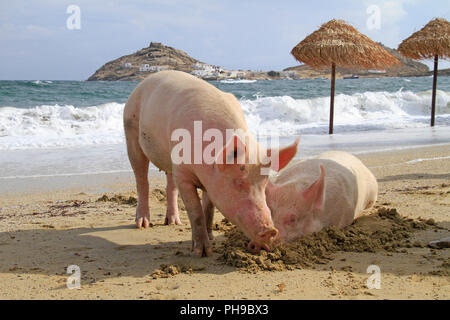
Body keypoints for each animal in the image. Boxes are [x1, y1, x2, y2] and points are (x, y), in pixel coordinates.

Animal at [123, 71, 298, 256]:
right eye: (238, 183)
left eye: (264, 183)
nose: (271, 230)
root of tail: (143, 82)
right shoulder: (184, 174)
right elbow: (196, 211)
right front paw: (201, 252)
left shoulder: (208, 181)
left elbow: (208, 208)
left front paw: (212, 237)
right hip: (130, 130)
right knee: (142, 179)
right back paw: (142, 224)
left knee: (170, 186)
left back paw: (173, 222)